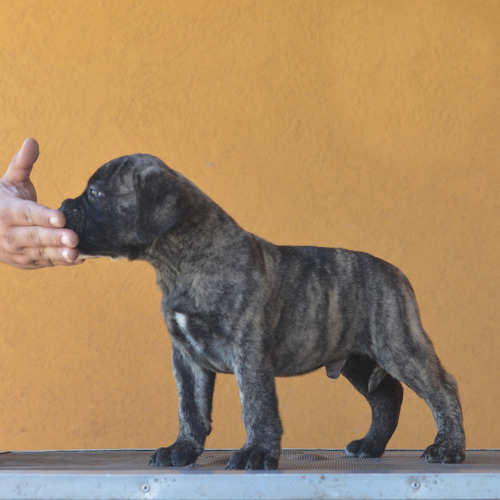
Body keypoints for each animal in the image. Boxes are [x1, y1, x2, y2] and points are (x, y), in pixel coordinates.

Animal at [60, 153, 466, 468]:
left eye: (95, 194)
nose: (63, 205)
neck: (180, 262)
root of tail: (395, 272)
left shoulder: (248, 350)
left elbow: (256, 405)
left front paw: (256, 453)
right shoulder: (186, 356)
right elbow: (190, 406)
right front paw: (183, 449)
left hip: (398, 344)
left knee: (442, 388)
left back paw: (447, 448)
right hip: (357, 359)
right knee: (386, 397)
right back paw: (370, 445)